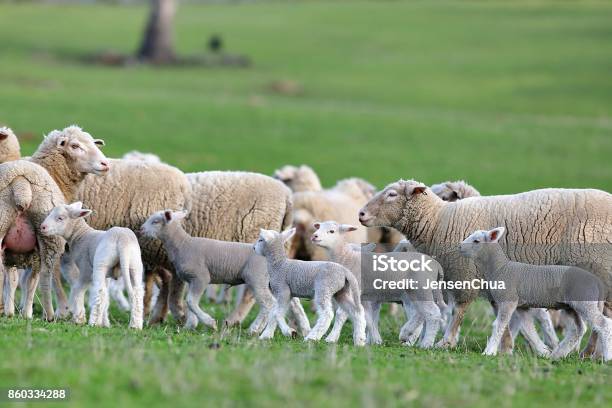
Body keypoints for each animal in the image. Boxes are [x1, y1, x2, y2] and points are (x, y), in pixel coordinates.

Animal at [0, 126, 109, 320]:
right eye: (75, 146)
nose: (105, 164)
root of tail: (21, 183)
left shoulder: (14, 251)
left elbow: (13, 280)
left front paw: (9, 309)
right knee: (45, 274)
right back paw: (48, 314)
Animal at [41, 202, 145, 330]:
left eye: (60, 218)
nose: (42, 227)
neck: (81, 235)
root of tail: (122, 240)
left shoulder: (85, 269)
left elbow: (78, 289)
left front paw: (79, 319)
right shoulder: (107, 276)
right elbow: (106, 300)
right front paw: (105, 322)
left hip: (101, 263)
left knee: (100, 292)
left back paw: (93, 322)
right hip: (135, 265)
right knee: (137, 293)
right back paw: (136, 325)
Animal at [462, 226, 608, 360]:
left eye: (476, 241)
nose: (460, 247)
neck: (500, 268)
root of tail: (597, 281)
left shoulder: (508, 300)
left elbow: (499, 325)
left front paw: (489, 351)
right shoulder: (522, 306)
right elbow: (529, 329)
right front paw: (543, 351)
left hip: (585, 302)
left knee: (603, 324)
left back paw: (606, 358)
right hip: (572, 306)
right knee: (578, 329)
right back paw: (557, 354)